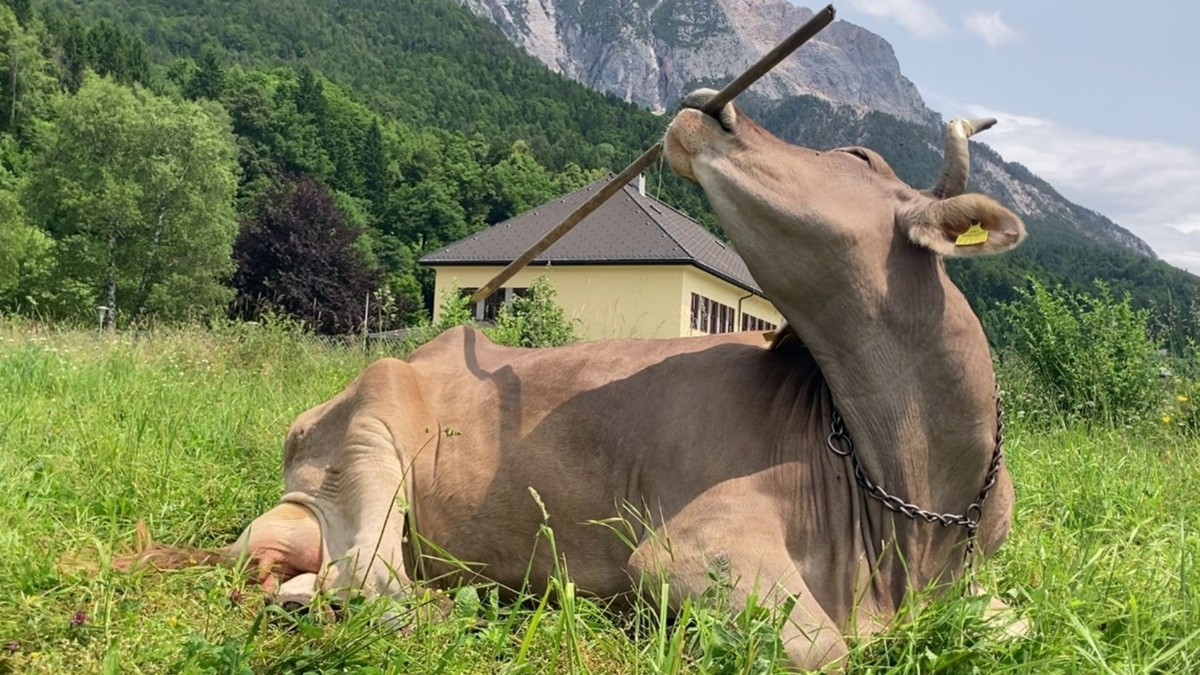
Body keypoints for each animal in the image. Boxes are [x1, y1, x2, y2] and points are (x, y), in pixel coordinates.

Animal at [123, 89, 1026, 671]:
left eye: (856, 154)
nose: (710, 102)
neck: (912, 501)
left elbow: (1013, 627)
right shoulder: (686, 547)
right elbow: (826, 649)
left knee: (325, 580)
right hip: (371, 432)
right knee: (374, 583)